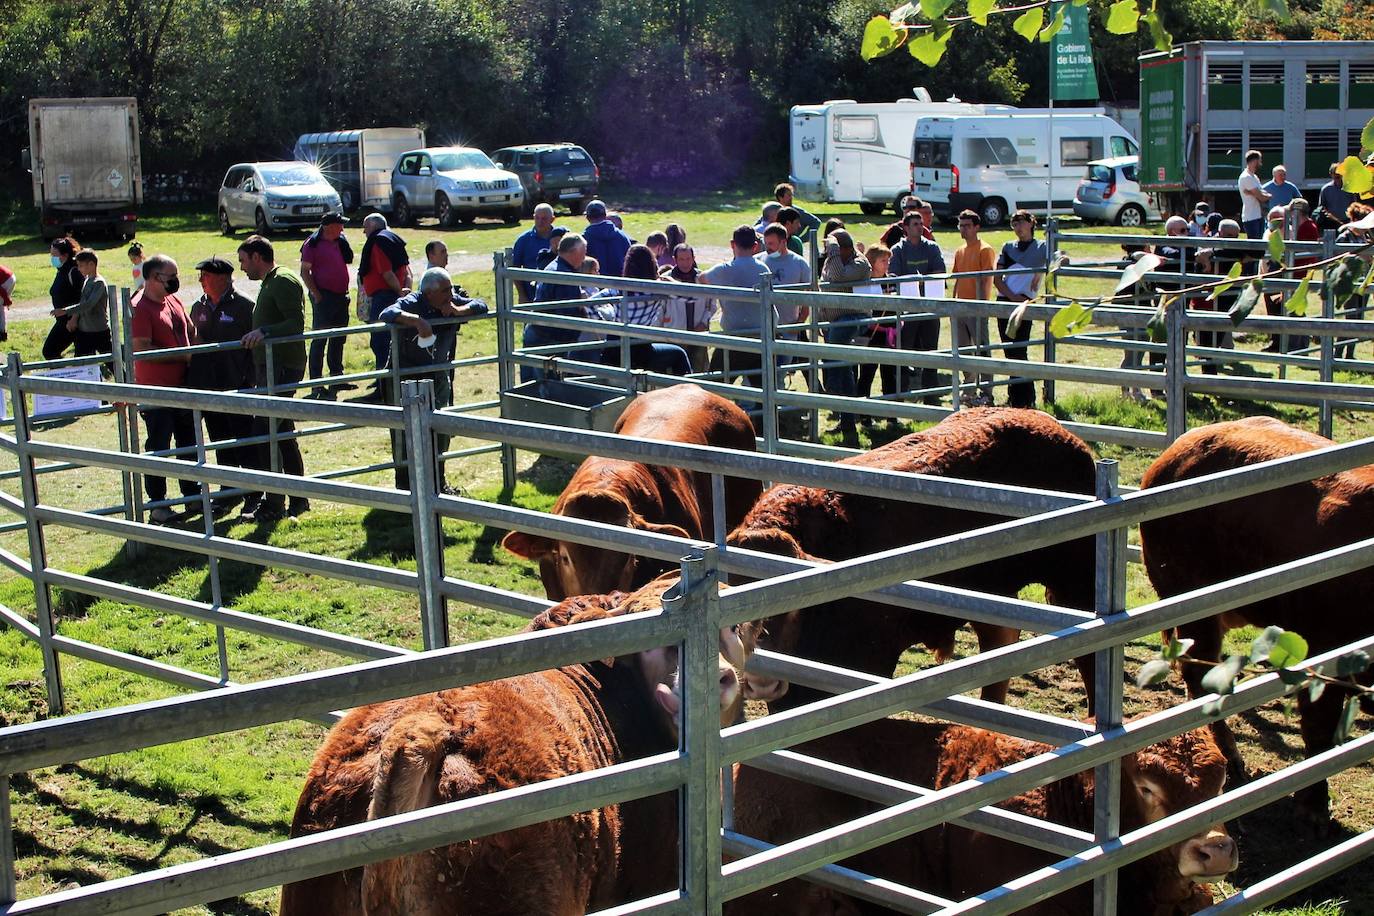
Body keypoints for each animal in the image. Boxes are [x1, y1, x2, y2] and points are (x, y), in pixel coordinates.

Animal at [1137, 420, 1374, 829]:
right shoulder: (1323, 646)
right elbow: (1319, 726)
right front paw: (1313, 809)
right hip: (1191, 596)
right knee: (1200, 675)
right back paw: (1231, 760)